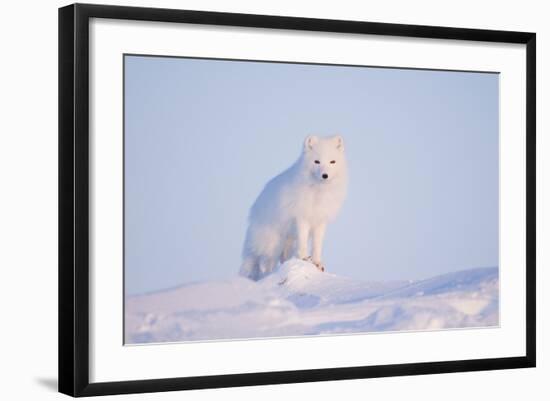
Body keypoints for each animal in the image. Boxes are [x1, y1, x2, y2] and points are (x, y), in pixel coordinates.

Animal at [242, 134, 350, 278]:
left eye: (332, 162)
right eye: (317, 162)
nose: (325, 175)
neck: (318, 193)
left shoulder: (320, 221)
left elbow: (317, 245)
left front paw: (317, 262)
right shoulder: (301, 217)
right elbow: (303, 241)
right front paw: (304, 258)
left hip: (286, 244)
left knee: (281, 260)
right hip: (273, 245)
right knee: (266, 266)